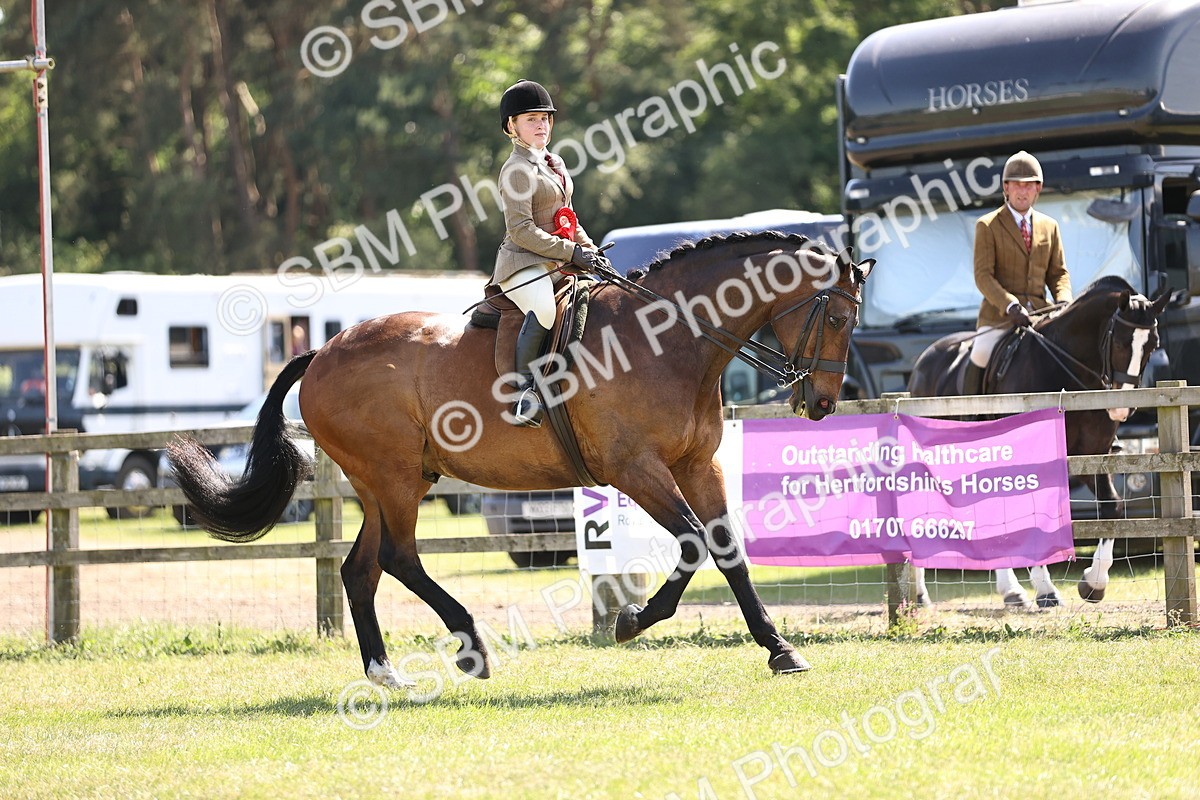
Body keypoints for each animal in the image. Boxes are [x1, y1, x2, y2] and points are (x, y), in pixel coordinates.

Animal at [168, 231, 874, 687]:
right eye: (839, 317)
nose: (822, 402)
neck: (669, 341)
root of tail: (323, 351)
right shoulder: (635, 469)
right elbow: (696, 543)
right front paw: (632, 621)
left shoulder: (699, 466)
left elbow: (727, 550)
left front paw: (779, 648)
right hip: (393, 479)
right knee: (398, 557)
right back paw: (472, 649)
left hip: (388, 482)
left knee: (361, 569)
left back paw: (385, 671)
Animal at [907, 276, 1170, 609]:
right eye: (1122, 342)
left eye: (1153, 345)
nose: (1122, 408)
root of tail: (923, 361)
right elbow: (1036, 518)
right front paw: (1046, 590)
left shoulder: (1090, 456)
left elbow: (1112, 506)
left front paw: (1094, 583)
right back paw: (920, 593)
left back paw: (1011, 591)